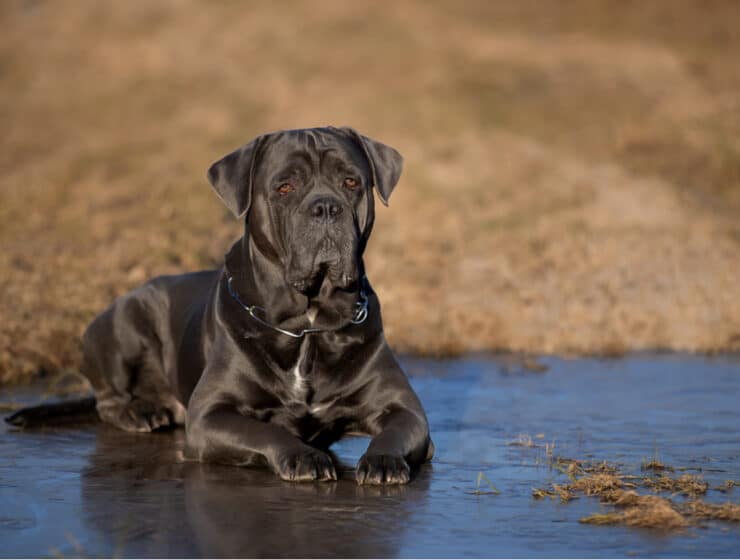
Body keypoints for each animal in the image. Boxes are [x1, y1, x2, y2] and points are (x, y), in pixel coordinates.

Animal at [11, 128, 434, 486]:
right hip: (123, 322)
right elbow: (266, 430)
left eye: (351, 182)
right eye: (284, 187)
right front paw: (303, 456)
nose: (326, 208)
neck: (307, 324)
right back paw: (140, 412)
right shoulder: (210, 415)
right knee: (106, 400)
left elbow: (395, 430)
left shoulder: (406, 411)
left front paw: (383, 461)